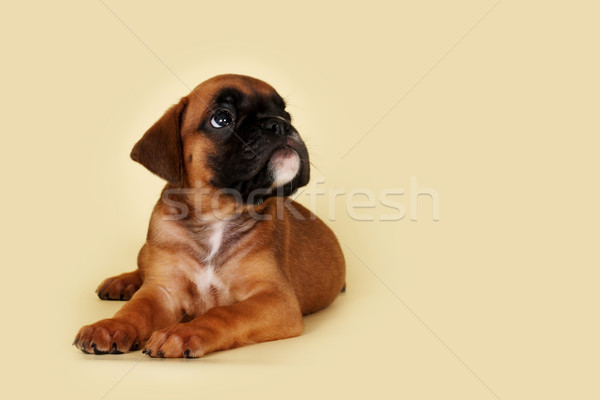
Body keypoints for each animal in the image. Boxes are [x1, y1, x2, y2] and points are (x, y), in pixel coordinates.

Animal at [74, 73, 346, 358]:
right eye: (222, 118)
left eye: (287, 115)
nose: (279, 125)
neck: (217, 215)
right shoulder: (163, 291)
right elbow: (137, 309)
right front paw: (110, 326)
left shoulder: (275, 298)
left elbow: (224, 313)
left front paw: (180, 333)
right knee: (142, 270)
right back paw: (121, 283)